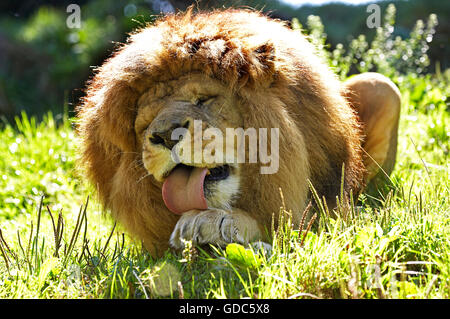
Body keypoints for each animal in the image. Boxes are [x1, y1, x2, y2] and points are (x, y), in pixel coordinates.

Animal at [76, 8, 400, 258]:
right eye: (144, 125)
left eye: (203, 100)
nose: (166, 136)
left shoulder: (333, 212)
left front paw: (215, 221)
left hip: (381, 86)